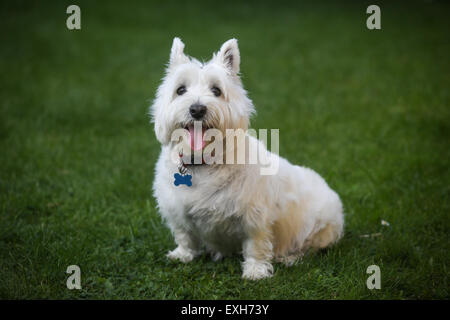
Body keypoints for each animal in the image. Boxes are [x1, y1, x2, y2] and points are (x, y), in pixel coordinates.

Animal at [149, 37, 342, 278]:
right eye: (180, 90)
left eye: (216, 90)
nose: (197, 109)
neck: (202, 163)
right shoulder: (176, 211)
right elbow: (185, 236)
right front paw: (182, 255)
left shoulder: (255, 217)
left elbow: (255, 245)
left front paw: (255, 271)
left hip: (321, 225)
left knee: (311, 246)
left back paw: (290, 257)